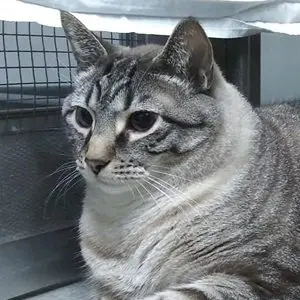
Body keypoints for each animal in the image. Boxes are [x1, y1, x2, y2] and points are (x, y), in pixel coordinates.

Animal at [59, 10, 300, 298]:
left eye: (142, 121)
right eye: (83, 117)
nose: (94, 161)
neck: (124, 213)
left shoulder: (266, 276)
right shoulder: (107, 288)